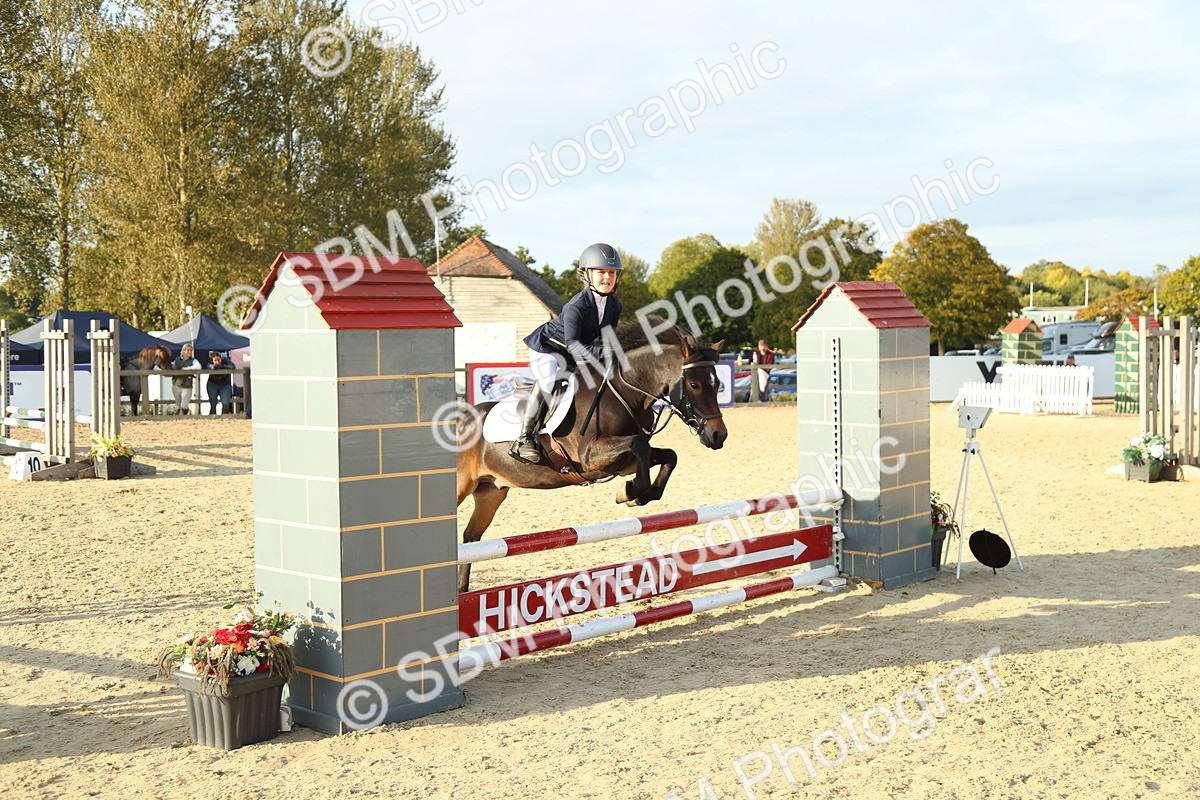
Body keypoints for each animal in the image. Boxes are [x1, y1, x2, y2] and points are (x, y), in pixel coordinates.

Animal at [455, 319, 729, 591]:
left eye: (717, 384)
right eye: (694, 385)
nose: (718, 436)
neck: (626, 393)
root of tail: (459, 420)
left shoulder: (623, 463)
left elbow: (668, 455)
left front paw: (639, 495)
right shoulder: (589, 457)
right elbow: (640, 443)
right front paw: (630, 491)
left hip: (490, 492)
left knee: (471, 537)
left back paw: (461, 590)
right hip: (462, 486)